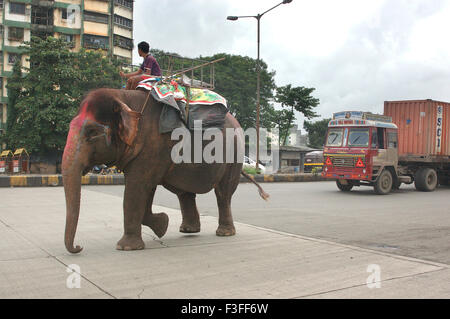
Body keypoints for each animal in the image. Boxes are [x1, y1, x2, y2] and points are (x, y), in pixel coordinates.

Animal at [61, 89, 268, 254]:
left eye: (91, 133)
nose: (78, 247)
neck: (122, 97)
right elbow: (145, 189)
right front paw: (162, 225)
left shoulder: (151, 147)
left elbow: (136, 189)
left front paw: (126, 247)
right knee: (185, 193)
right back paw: (188, 231)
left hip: (234, 155)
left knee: (223, 193)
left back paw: (224, 233)